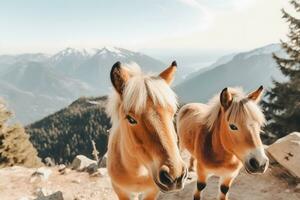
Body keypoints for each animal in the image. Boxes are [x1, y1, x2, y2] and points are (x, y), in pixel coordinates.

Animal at [106, 61, 188, 200]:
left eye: (173, 113)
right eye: (131, 119)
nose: (174, 175)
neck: (138, 173)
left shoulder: (152, 191)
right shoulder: (121, 190)